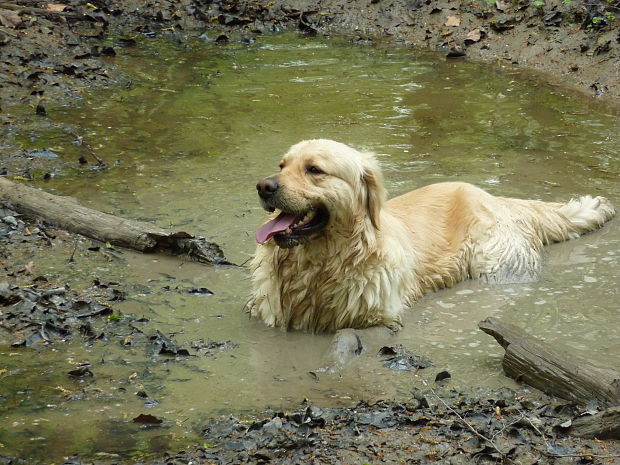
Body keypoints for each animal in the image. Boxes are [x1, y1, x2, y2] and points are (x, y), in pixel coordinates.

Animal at [247, 140, 616, 332]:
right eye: (282, 165)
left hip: (494, 264)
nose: (263, 186)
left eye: (314, 170)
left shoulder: (378, 318)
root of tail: (498, 199)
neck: (320, 265)